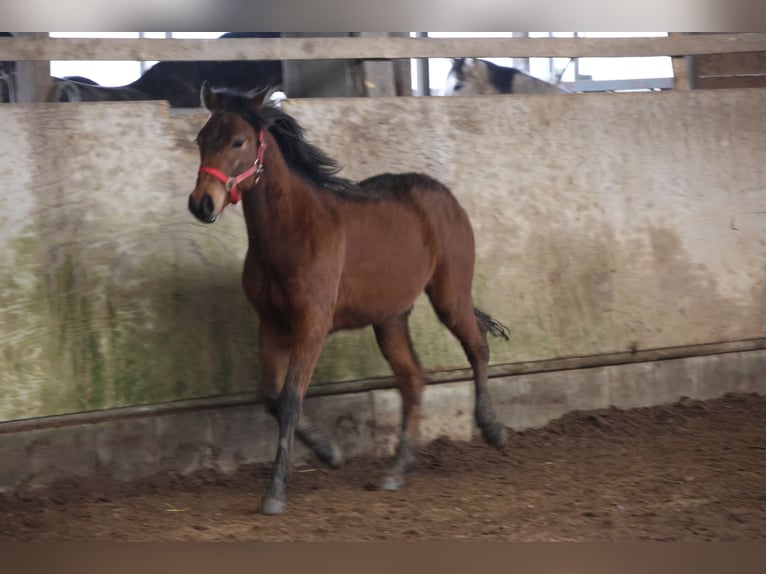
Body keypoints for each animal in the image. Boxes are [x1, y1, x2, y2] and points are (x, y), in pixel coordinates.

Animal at [187, 82, 512, 516]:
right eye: (202, 139)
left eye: (238, 141)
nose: (202, 203)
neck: (292, 230)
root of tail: (443, 196)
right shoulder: (270, 323)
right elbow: (270, 396)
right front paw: (330, 453)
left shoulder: (311, 324)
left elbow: (289, 400)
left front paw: (276, 492)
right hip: (390, 318)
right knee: (413, 379)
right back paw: (397, 470)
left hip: (450, 295)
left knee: (477, 348)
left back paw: (492, 430)